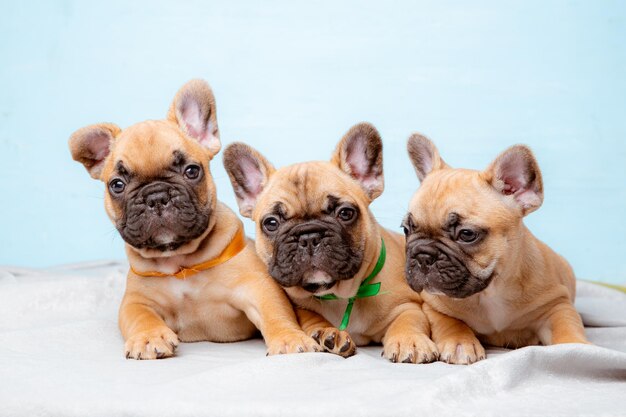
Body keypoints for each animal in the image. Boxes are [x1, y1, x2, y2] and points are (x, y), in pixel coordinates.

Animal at [70, 80, 320, 358]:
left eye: (192, 171)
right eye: (117, 185)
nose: (156, 196)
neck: (179, 261)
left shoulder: (258, 287)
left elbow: (276, 312)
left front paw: (288, 338)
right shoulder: (136, 301)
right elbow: (140, 316)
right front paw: (148, 337)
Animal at [222, 122, 436, 362]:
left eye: (345, 213)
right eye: (271, 223)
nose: (309, 236)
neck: (339, 295)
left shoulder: (408, 305)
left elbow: (408, 320)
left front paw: (410, 341)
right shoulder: (299, 307)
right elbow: (312, 319)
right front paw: (327, 333)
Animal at [402, 134, 588, 364]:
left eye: (466, 234)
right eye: (406, 229)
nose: (423, 255)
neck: (491, 291)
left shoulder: (556, 304)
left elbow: (567, 326)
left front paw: (578, 349)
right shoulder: (433, 305)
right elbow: (450, 322)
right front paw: (460, 343)